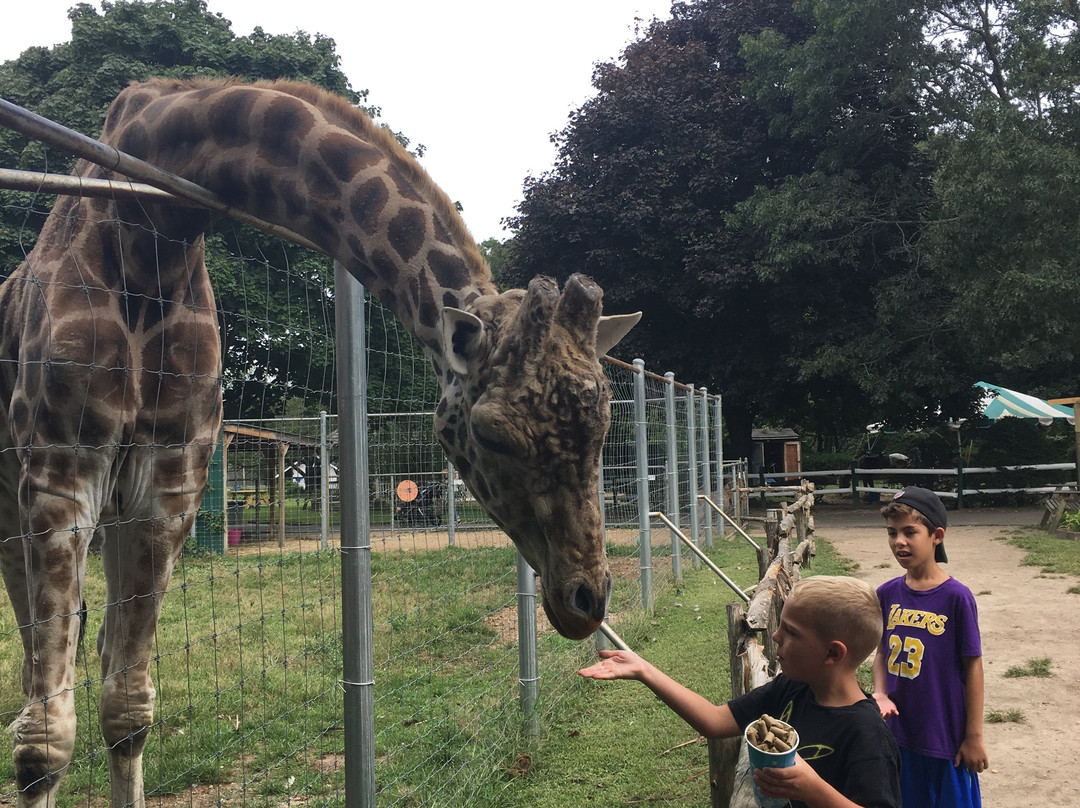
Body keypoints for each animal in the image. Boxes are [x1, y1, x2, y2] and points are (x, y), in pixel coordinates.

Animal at [0, 77, 639, 808]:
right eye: (491, 432)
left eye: (605, 427)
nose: (587, 600)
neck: (154, 234)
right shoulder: (60, 474)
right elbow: (44, 742)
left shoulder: (168, 486)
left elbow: (128, 706)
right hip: (14, 510)